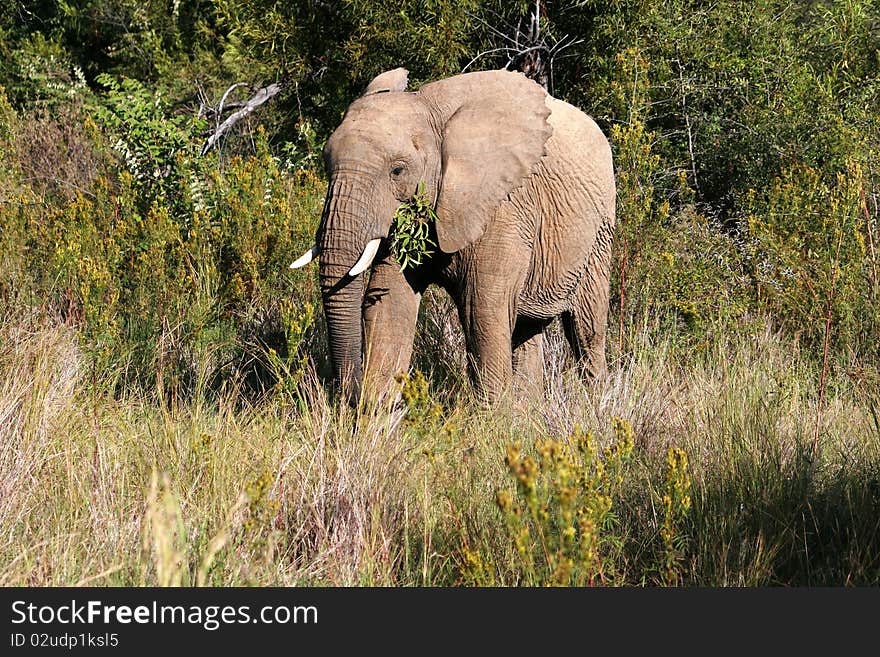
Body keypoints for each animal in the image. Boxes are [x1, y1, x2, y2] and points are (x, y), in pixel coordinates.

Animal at [292, 68, 616, 404]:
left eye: (397, 171)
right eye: (326, 163)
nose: (349, 395)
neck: (429, 111)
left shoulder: (502, 209)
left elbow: (481, 309)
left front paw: (495, 414)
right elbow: (390, 304)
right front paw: (376, 413)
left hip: (600, 232)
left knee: (586, 328)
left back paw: (595, 404)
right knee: (528, 328)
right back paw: (530, 410)